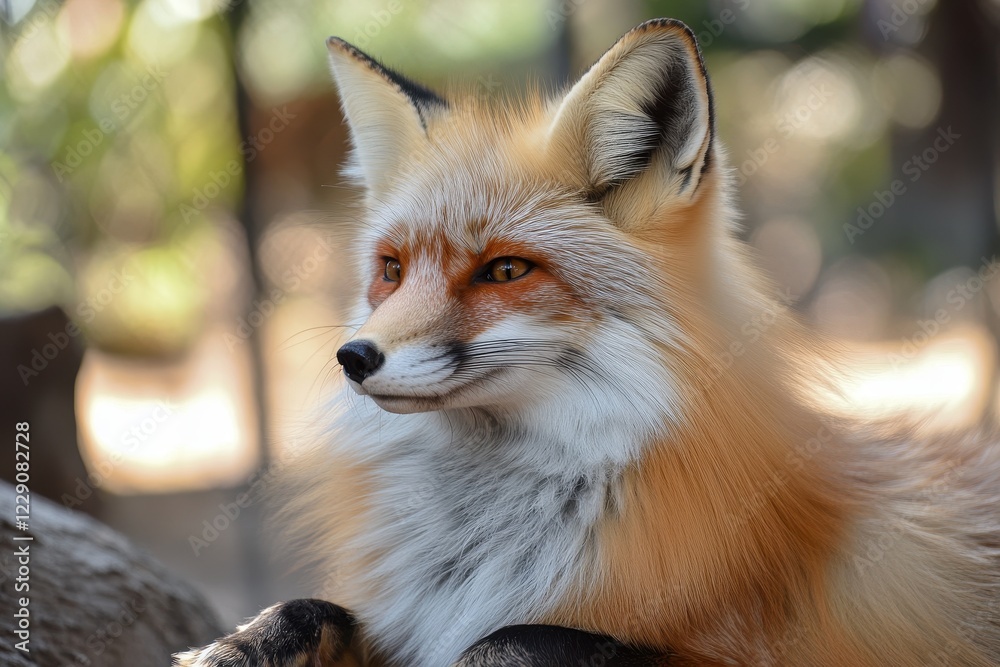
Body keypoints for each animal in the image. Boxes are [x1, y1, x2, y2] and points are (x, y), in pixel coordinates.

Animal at [176, 17, 1000, 667]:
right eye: (391, 270)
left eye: (506, 270)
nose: (353, 359)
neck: (481, 555)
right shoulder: (407, 621)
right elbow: (312, 607)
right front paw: (238, 644)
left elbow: (513, 638)